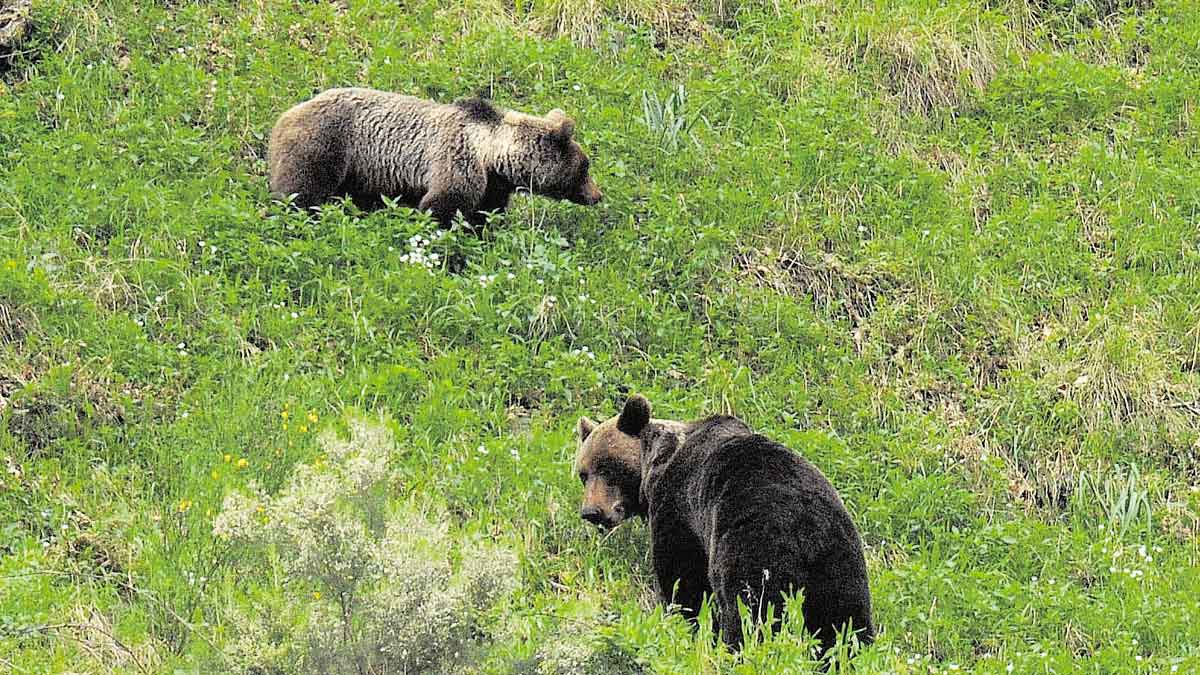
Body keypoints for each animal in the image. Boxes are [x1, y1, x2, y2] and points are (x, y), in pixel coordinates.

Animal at [264, 87, 600, 225]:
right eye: (584, 167)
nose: (598, 195)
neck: (492, 155)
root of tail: (283, 118)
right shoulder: (456, 161)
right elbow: (442, 207)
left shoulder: (492, 185)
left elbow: (485, 214)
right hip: (326, 145)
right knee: (301, 191)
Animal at [573, 393, 873, 653]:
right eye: (583, 474)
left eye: (608, 468)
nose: (592, 511)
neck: (655, 465)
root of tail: (805, 526)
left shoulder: (679, 507)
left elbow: (681, 576)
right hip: (839, 563)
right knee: (844, 621)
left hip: (752, 549)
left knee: (749, 611)